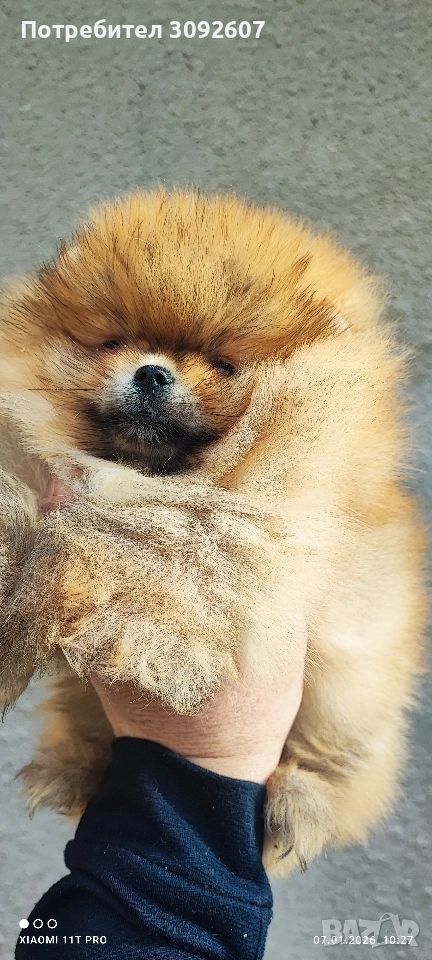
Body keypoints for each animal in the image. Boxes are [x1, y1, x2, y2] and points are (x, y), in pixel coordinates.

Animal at [0, 188, 426, 875]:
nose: (151, 373)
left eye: (224, 365)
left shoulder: (233, 545)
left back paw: (299, 804)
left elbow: (91, 551)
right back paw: (69, 768)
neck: (149, 478)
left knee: (341, 767)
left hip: (352, 694)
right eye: (115, 341)